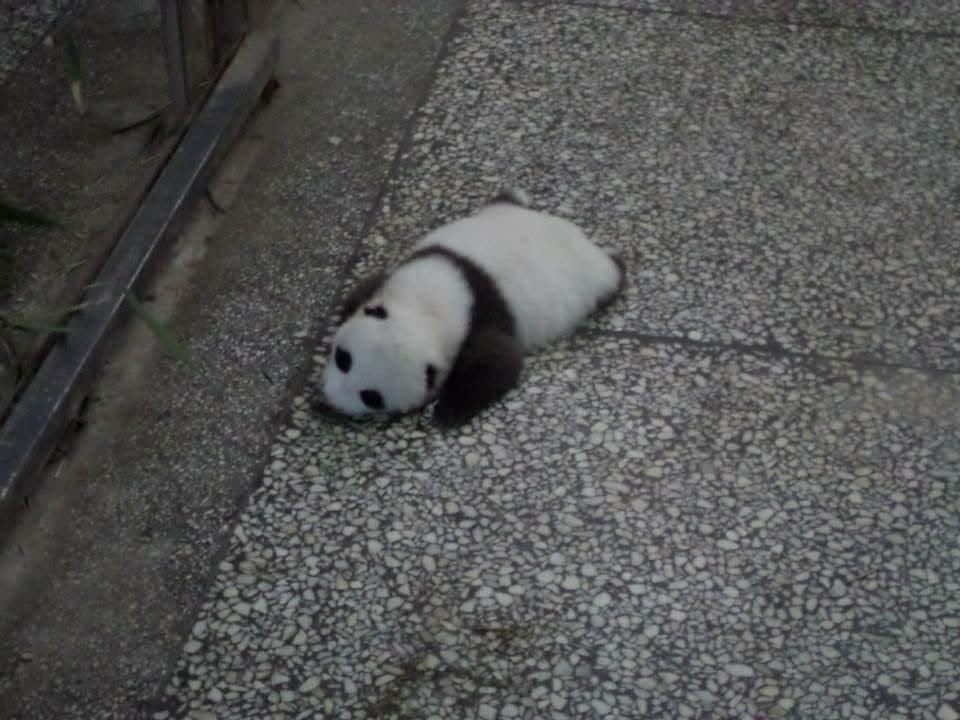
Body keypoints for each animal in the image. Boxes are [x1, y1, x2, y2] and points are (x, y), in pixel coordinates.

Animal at [319, 189, 626, 427]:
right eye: (343, 358)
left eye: (371, 397)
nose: (329, 400)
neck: (430, 304)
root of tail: (570, 228)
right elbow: (366, 289)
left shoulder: (478, 321)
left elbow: (501, 362)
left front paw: (447, 413)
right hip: (496, 213)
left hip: (588, 278)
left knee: (609, 277)